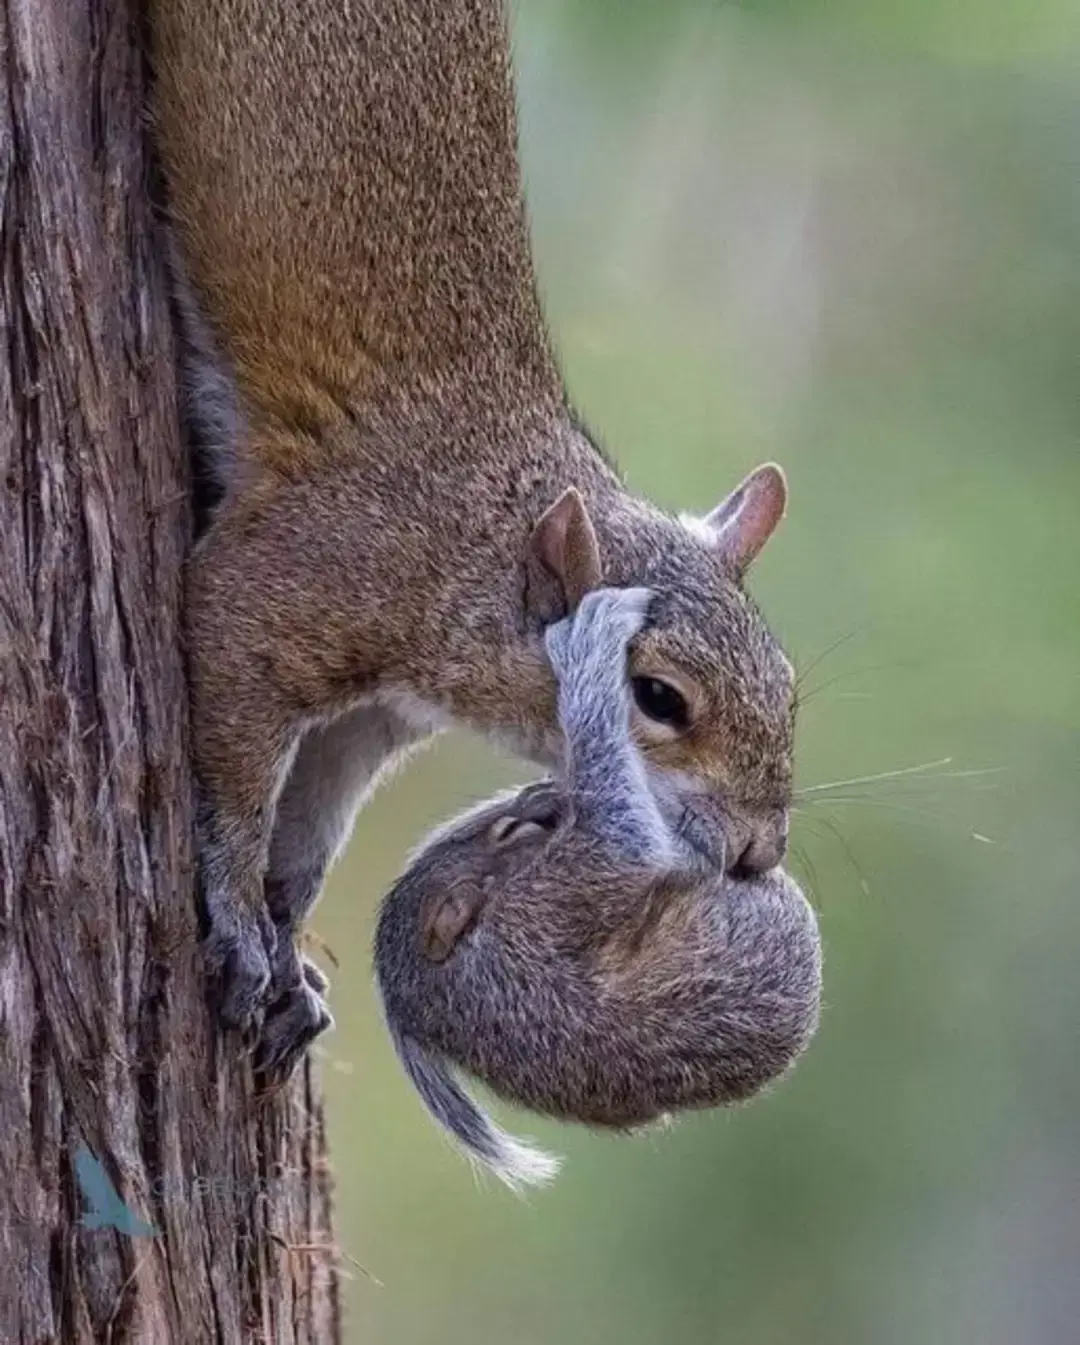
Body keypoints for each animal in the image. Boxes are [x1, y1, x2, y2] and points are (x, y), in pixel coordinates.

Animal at [149, 0, 796, 1059]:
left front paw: (287, 944)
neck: (482, 541)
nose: (758, 850)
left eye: (787, 685)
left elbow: (310, 835)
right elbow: (240, 784)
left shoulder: (373, 719)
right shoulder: (285, 586)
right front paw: (242, 927)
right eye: (657, 697)